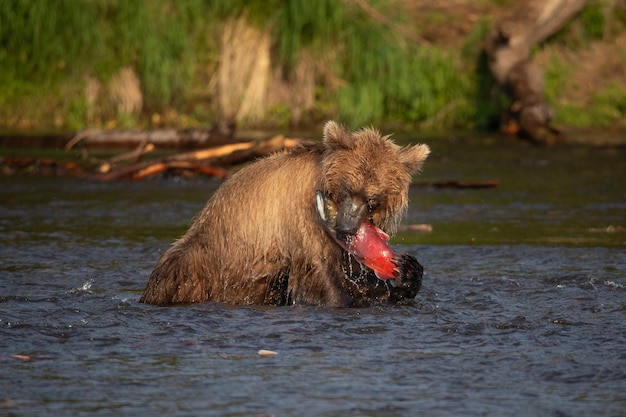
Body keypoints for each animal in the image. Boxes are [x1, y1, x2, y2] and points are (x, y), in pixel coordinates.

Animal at [138, 120, 426, 306]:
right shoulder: (301, 216)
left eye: (371, 198)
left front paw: (407, 271)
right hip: (202, 266)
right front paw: (341, 298)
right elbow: (320, 270)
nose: (346, 227)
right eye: (347, 189)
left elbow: (356, 271)